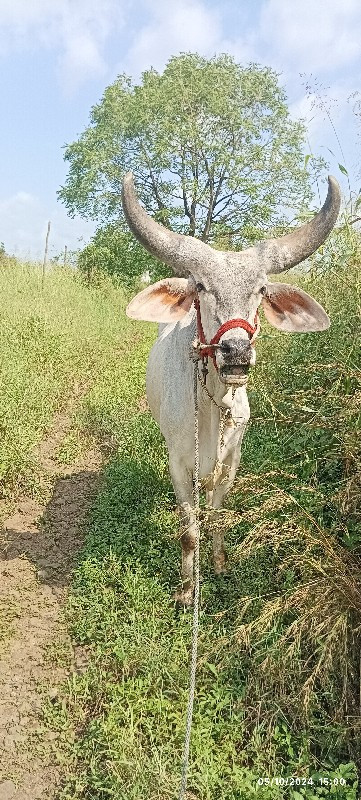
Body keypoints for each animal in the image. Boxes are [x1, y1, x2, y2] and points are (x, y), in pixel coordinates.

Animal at [122, 172, 338, 604]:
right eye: (202, 286)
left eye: (260, 290)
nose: (236, 351)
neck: (212, 406)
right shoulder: (179, 463)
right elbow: (189, 531)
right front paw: (187, 590)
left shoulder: (231, 459)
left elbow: (217, 513)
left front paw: (219, 563)